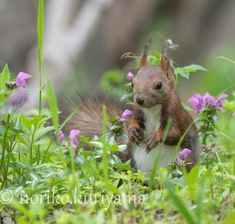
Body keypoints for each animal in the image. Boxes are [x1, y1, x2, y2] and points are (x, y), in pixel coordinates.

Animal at [64, 46, 198, 175]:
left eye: (159, 85)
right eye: (133, 82)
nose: (139, 99)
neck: (152, 110)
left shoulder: (176, 116)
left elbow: (174, 133)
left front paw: (155, 137)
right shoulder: (137, 112)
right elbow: (133, 122)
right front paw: (133, 131)